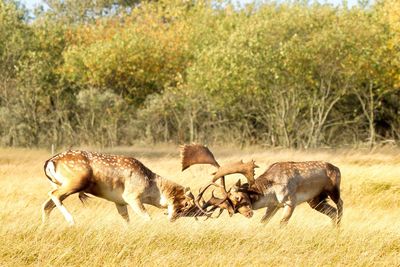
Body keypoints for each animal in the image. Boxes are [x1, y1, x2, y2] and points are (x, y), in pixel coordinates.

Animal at [42, 150, 203, 225]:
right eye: (187, 203)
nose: (172, 219)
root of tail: (50, 161)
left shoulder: (119, 201)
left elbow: (126, 219)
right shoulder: (131, 197)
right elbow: (147, 217)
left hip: (60, 183)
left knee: (46, 205)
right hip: (75, 182)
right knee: (53, 194)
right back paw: (71, 221)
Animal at [183, 146, 342, 227]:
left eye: (239, 197)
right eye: (232, 210)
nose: (248, 213)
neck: (271, 189)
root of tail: (337, 168)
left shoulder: (291, 201)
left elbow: (282, 223)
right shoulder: (274, 205)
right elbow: (263, 222)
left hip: (333, 190)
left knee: (340, 204)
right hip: (315, 200)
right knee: (332, 212)